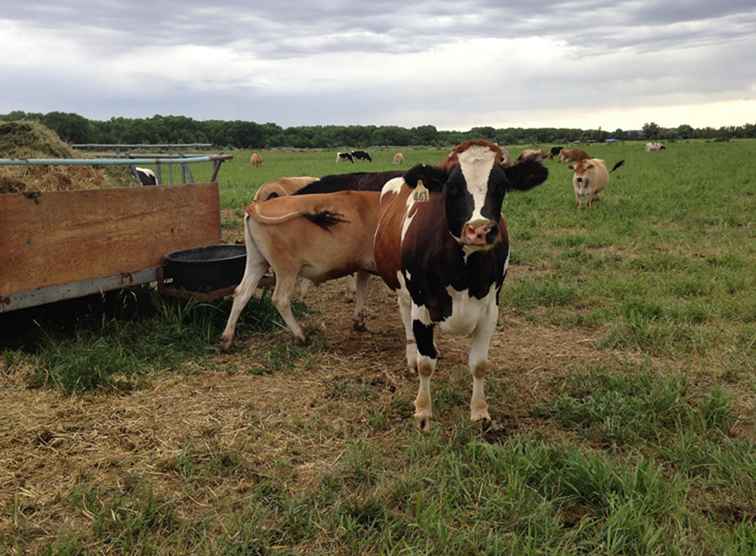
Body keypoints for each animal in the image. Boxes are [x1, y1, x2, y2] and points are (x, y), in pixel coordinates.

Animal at [221, 189, 380, 350]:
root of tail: (256, 206)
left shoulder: (363, 266)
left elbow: (362, 290)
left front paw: (359, 322)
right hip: (287, 269)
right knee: (280, 299)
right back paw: (300, 336)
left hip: (257, 262)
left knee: (242, 293)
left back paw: (226, 339)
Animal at [374, 139, 548, 430]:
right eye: (452, 187)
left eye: (501, 186)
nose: (480, 230)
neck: (463, 270)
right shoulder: (422, 304)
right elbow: (425, 363)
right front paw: (423, 410)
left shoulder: (490, 309)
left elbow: (479, 364)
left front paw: (479, 412)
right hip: (403, 291)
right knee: (406, 321)